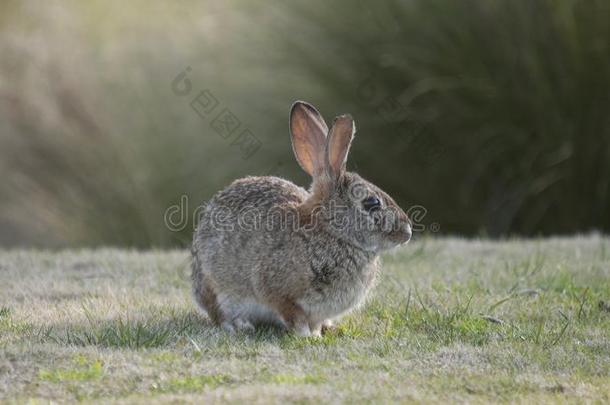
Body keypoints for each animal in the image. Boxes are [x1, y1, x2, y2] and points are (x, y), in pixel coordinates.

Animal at [191, 101, 408, 334]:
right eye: (372, 203)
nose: (407, 232)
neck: (332, 231)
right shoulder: (278, 292)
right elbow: (293, 315)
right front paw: (307, 336)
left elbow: (316, 321)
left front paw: (318, 332)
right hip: (215, 287)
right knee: (219, 313)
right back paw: (239, 325)